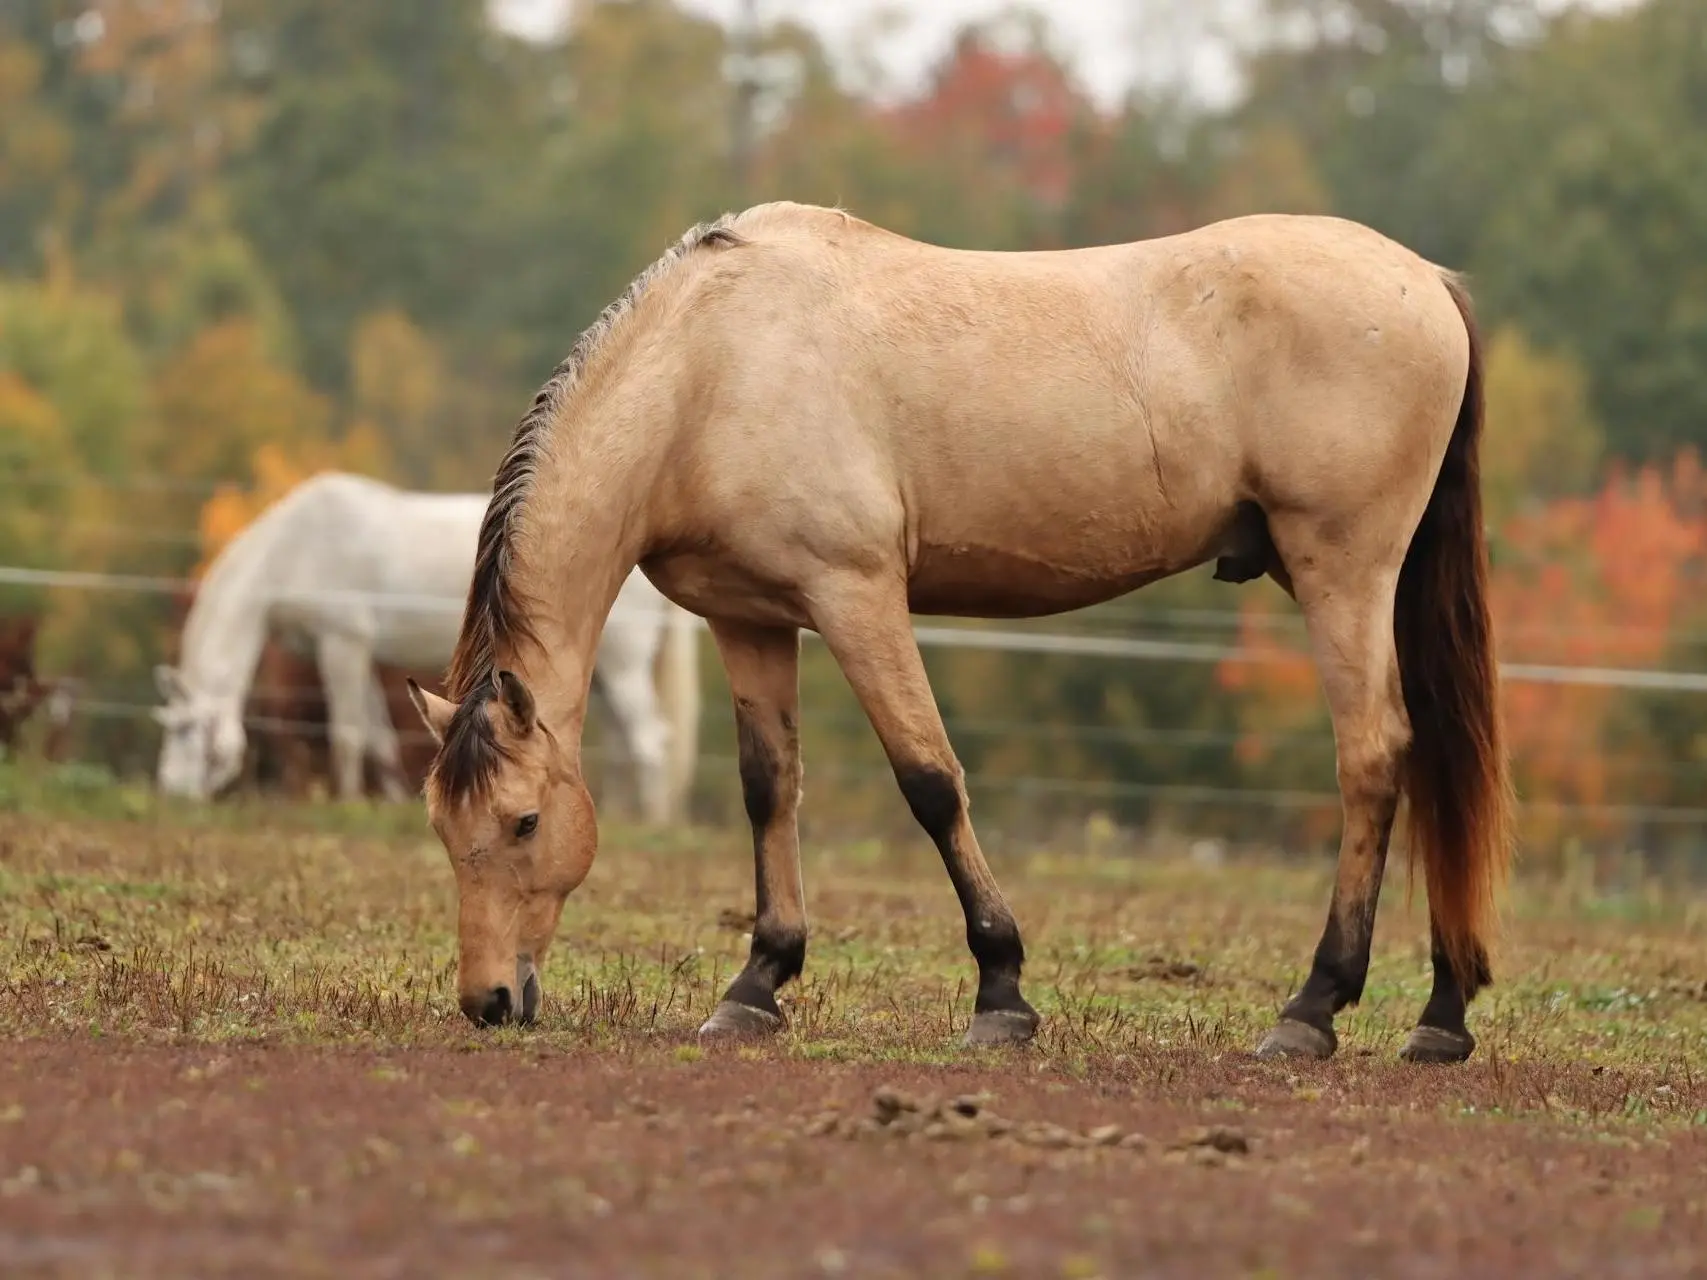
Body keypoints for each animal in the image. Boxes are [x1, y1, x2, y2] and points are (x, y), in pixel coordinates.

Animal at [151, 474, 699, 822]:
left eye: (185, 731)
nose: (172, 792)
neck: (295, 547)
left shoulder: (342, 644)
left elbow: (347, 733)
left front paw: (343, 802)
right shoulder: (364, 656)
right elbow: (378, 739)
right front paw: (391, 802)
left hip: (623, 668)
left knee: (648, 739)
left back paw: (652, 823)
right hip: (601, 674)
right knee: (624, 744)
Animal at [406, 200, 1515, 1064]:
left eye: (524, 822)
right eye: (444, 830)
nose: (489, 1000)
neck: (710, 367)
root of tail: (1426, 280)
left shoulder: (856, 597)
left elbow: (930, 781)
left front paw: (1001, 990)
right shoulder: (749, 618)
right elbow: (771, 787)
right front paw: (758, 982)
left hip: (1343, 573)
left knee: (1373, 757)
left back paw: (1313, 1006)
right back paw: (1440, 1012)